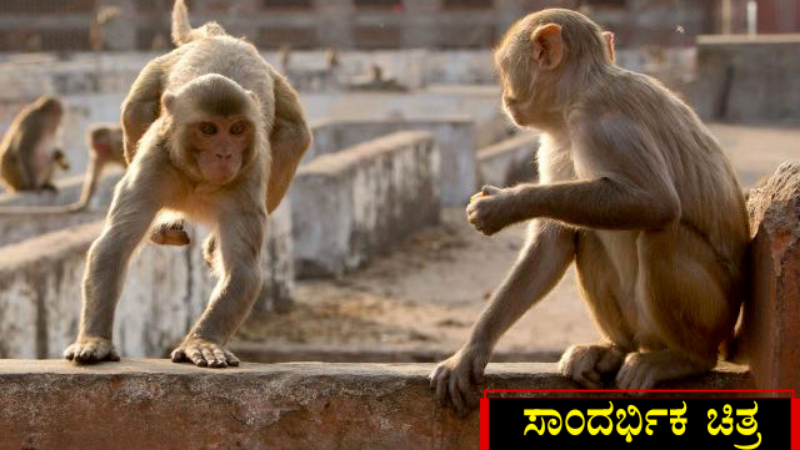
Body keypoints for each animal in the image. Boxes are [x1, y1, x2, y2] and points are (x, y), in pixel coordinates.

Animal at [63, 0, 310, 368]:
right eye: (209, 129)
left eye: (237, 129)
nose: (224, 154)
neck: (198, 178)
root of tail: (220, 37)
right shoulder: (153, 165)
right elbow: (113, 246)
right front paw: (94, 340)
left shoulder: (248, 177)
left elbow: (243, 270)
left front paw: (202, 342)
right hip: (153, 76)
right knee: (135, 110)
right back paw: (166, 227)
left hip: (281, 96)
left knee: (295, 137)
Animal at [429, 9, 750, 416]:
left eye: (504, 69)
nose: (503, 96)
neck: (576, 96)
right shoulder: (553, 143)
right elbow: (552, 243)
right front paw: (472, 350)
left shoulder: (602, 123)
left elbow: (655, 201)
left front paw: (504, 204)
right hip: (642, 322)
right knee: (588, 232)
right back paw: (614, 348)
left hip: (713, 313)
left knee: (661, 233)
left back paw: (685, 359)